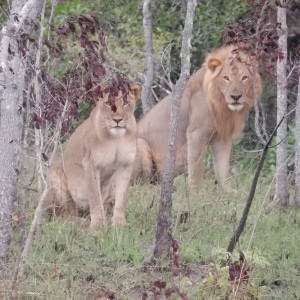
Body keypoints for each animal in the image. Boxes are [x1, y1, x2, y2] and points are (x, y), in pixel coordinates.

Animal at [44, 83, 142, 229]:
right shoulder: (90, 164)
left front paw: (119, 224)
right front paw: (98, 225)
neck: (117, 138)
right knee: (68, 214)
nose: (117, 120)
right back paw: (81, 222)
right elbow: (95, 197)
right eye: (108, 103)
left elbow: (121, 198)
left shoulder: (125, 166)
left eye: (125, 103)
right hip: (56, 177)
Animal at [135, 45, 262, 190]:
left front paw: (228, 191)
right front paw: (196, 191)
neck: (222, 105)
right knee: (138, 184)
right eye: (226, 78)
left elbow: (223, 167)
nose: (236, 97)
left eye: (244, 78)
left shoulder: (222, 137)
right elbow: (197, 168)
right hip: (140, 143)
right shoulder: (196, 133)